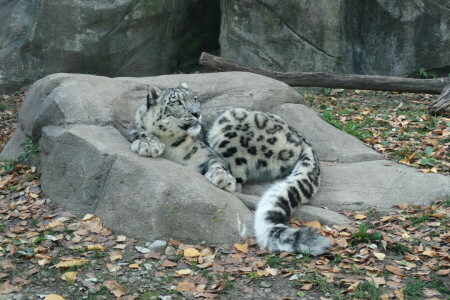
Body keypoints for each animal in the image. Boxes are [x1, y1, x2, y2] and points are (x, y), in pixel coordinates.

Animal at [126, 82, 330, 255]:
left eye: (195, 99)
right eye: (176, 102)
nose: (197, 113)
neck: (171, 142)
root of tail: (302, 138)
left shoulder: (205, 153)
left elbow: (218, 164)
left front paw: (222, 178)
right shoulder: (134, 129)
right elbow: (140, 132)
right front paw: (149, 145)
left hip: (229, 126)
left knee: (239, 180)